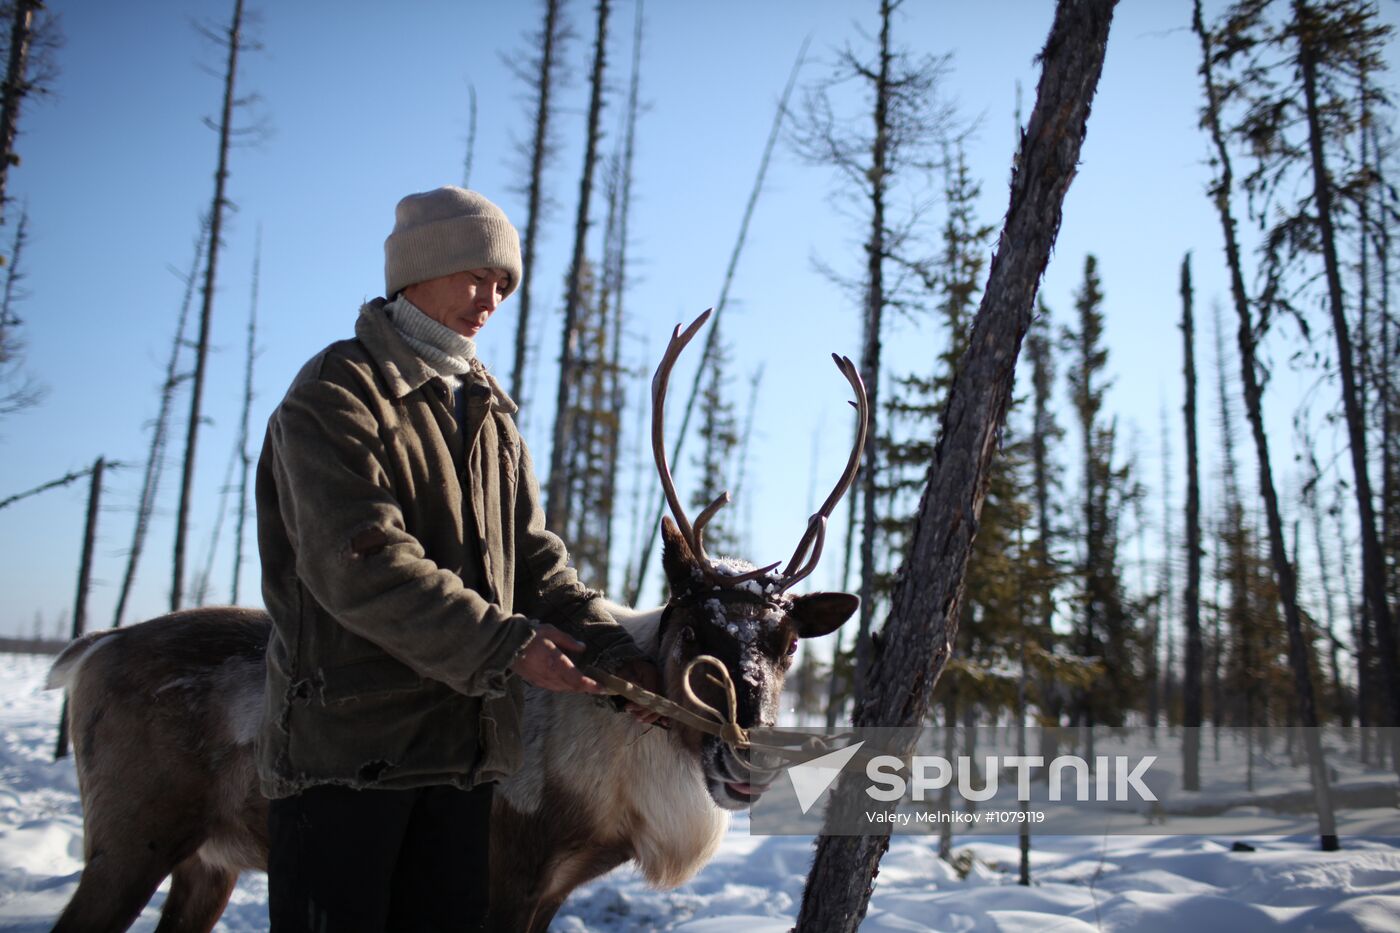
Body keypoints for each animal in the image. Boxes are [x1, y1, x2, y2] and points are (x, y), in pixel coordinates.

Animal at [46, 309, 867, 933]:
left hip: (207, 861)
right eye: (694, 629)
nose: (746, 760)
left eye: (789, 642)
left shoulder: (550, 889)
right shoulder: (505, 878)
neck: (613, 782)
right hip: (130, 839)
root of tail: (92, 649)